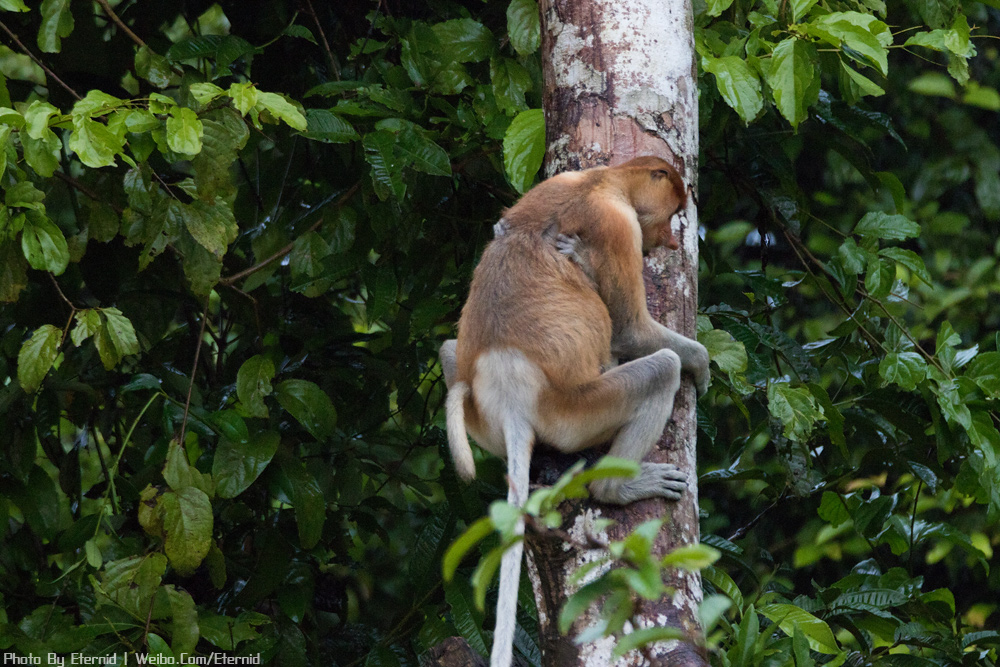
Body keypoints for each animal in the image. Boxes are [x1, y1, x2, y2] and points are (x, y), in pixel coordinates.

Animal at [440, 157, 712, 667]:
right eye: (671, 216)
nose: (669, 242)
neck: (603, 180)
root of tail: (513, 400)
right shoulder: (618, 225)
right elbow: (630, 328)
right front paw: (703, 363)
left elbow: (502, 225)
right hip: (577, 413)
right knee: (660, 369)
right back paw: (622, 486)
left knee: (448, 350)